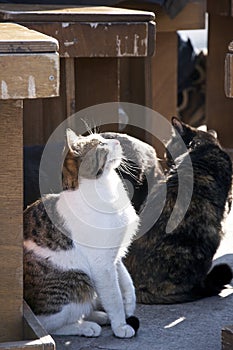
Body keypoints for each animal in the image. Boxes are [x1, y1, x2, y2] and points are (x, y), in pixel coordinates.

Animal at [23, 130, 140, 338]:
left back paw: (98, 316)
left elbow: (126, 282)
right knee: (47, 325)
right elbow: (114, 297)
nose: (117, 142)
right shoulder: (102, 265)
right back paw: (85, 326)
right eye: (101, 145)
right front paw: (120, 326)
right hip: (80, 280)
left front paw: (129, 305)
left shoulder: (115, 256)